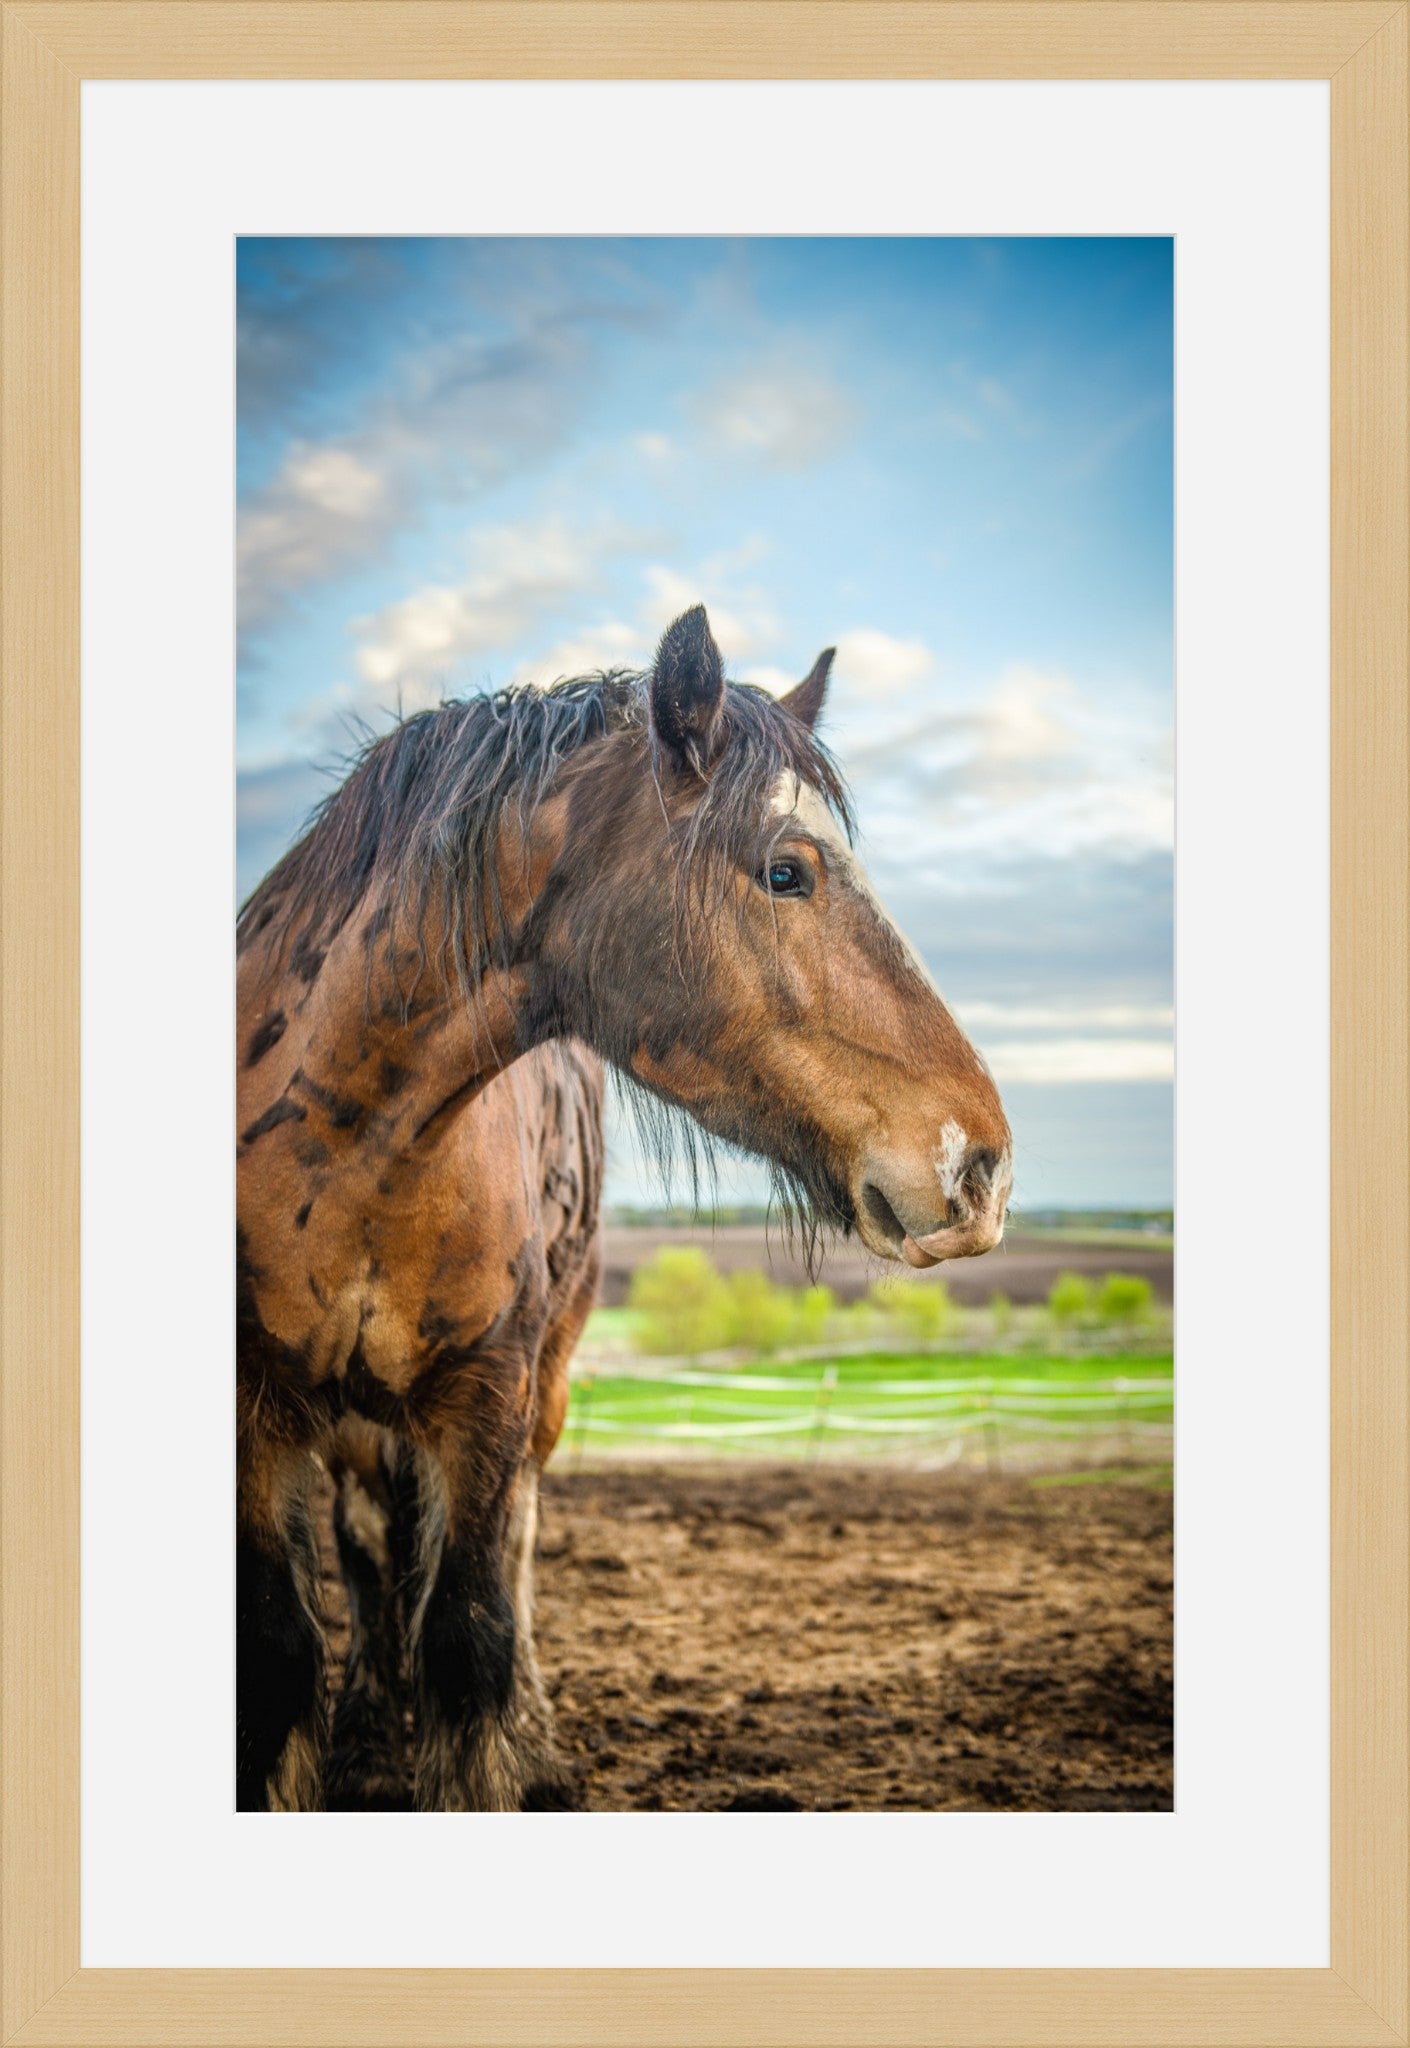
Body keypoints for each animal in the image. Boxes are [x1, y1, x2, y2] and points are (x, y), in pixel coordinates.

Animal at [241, 602, 1012, 1810]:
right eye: (786, 871)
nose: (981, 1162)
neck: (349, 1145)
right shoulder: (257, 1412)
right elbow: (284, 1657)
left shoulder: (488, 1395)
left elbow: (470, 1637)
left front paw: (504, 1754)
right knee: (370, 1550)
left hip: (536, 1392)